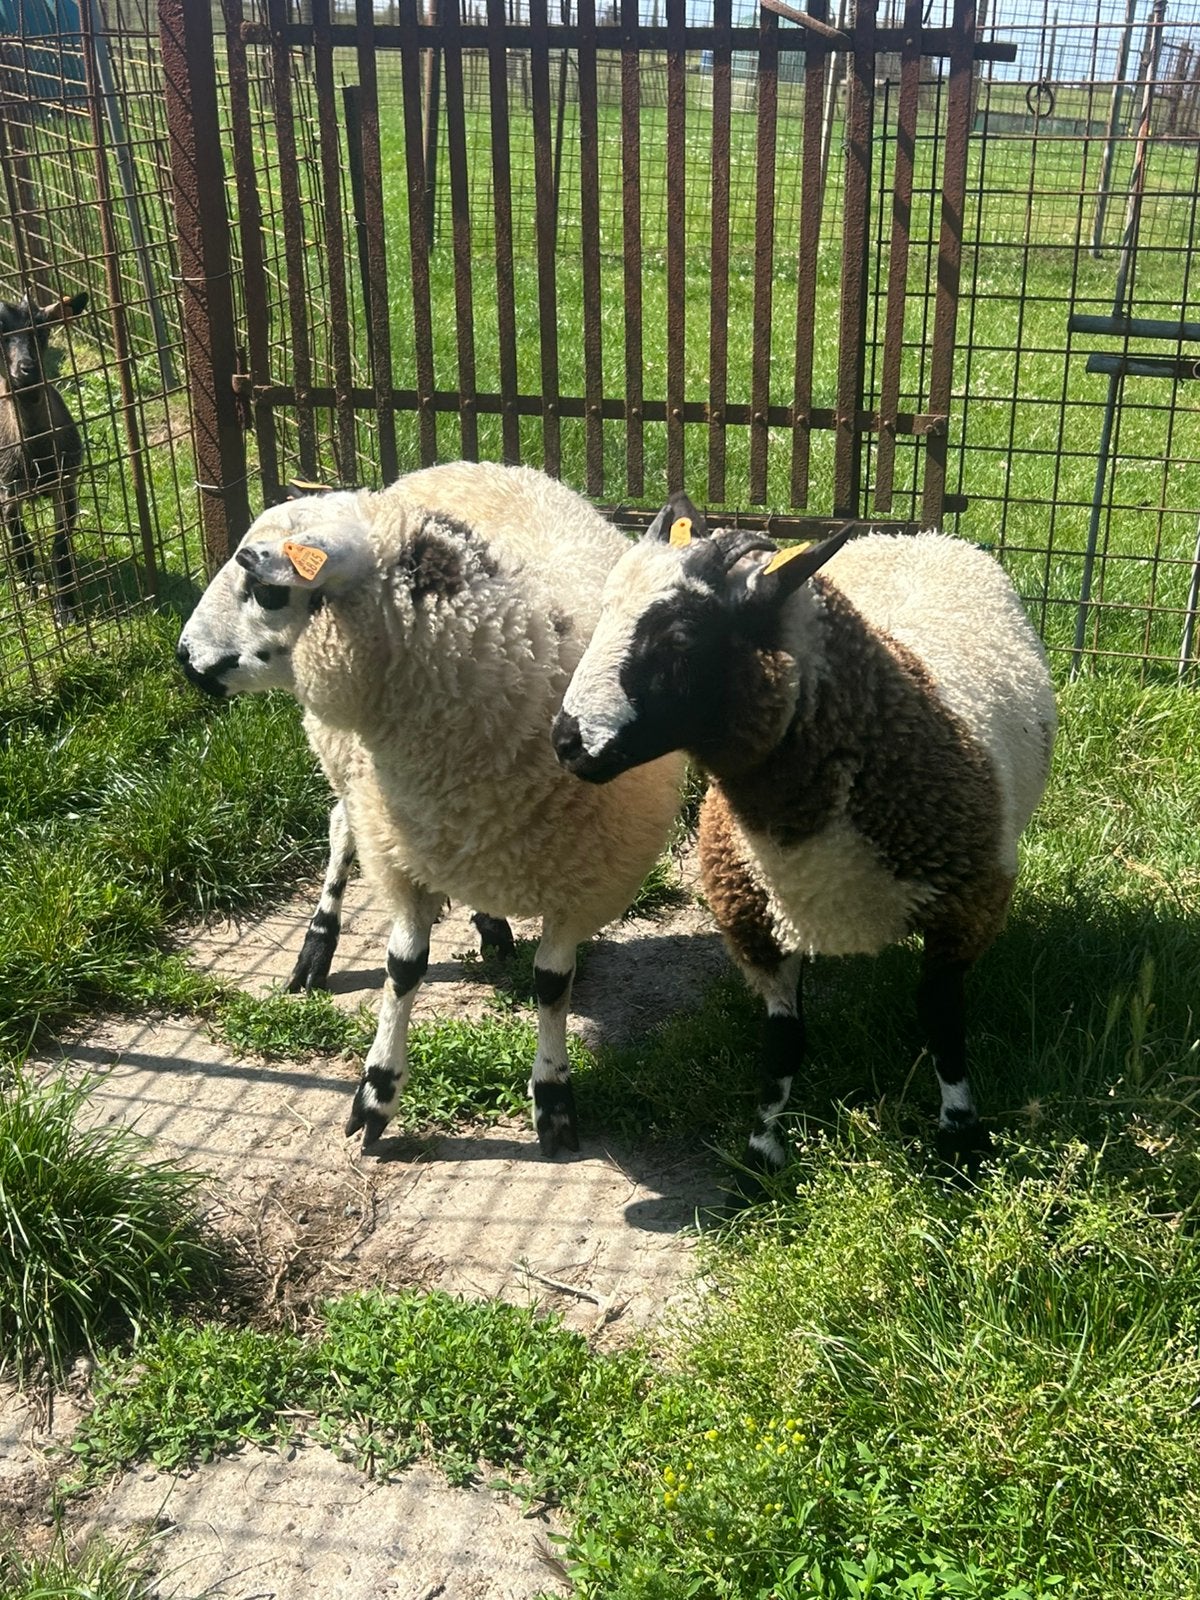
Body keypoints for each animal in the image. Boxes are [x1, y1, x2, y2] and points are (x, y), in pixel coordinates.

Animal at [0, 292, 89, 624]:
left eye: (42, 331)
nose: (27, 368)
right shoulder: (7, 492)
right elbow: (21, 543)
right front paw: (30, 589)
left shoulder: (67, 484)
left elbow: (60, 547)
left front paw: (66, 609)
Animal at [176, 460, 684, 1153]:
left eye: (267, 591)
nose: (184, 656)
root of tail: (462, 463)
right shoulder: (399, 857)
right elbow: (403, 967)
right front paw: (375, 1095)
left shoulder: (586, 883)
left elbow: (553, 984)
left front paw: (553, 1100)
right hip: (348, 770)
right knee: (340, 830)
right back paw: (317, 949)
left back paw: (491, 928)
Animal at [551, 494, 1057, 1173]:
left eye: (680, 637)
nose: (566, 741)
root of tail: (917, 535)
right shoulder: (755, 923)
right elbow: (783, 1041)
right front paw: (763, 1150)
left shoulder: (966, 908)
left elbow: (941, 1021)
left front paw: (960, 1137)